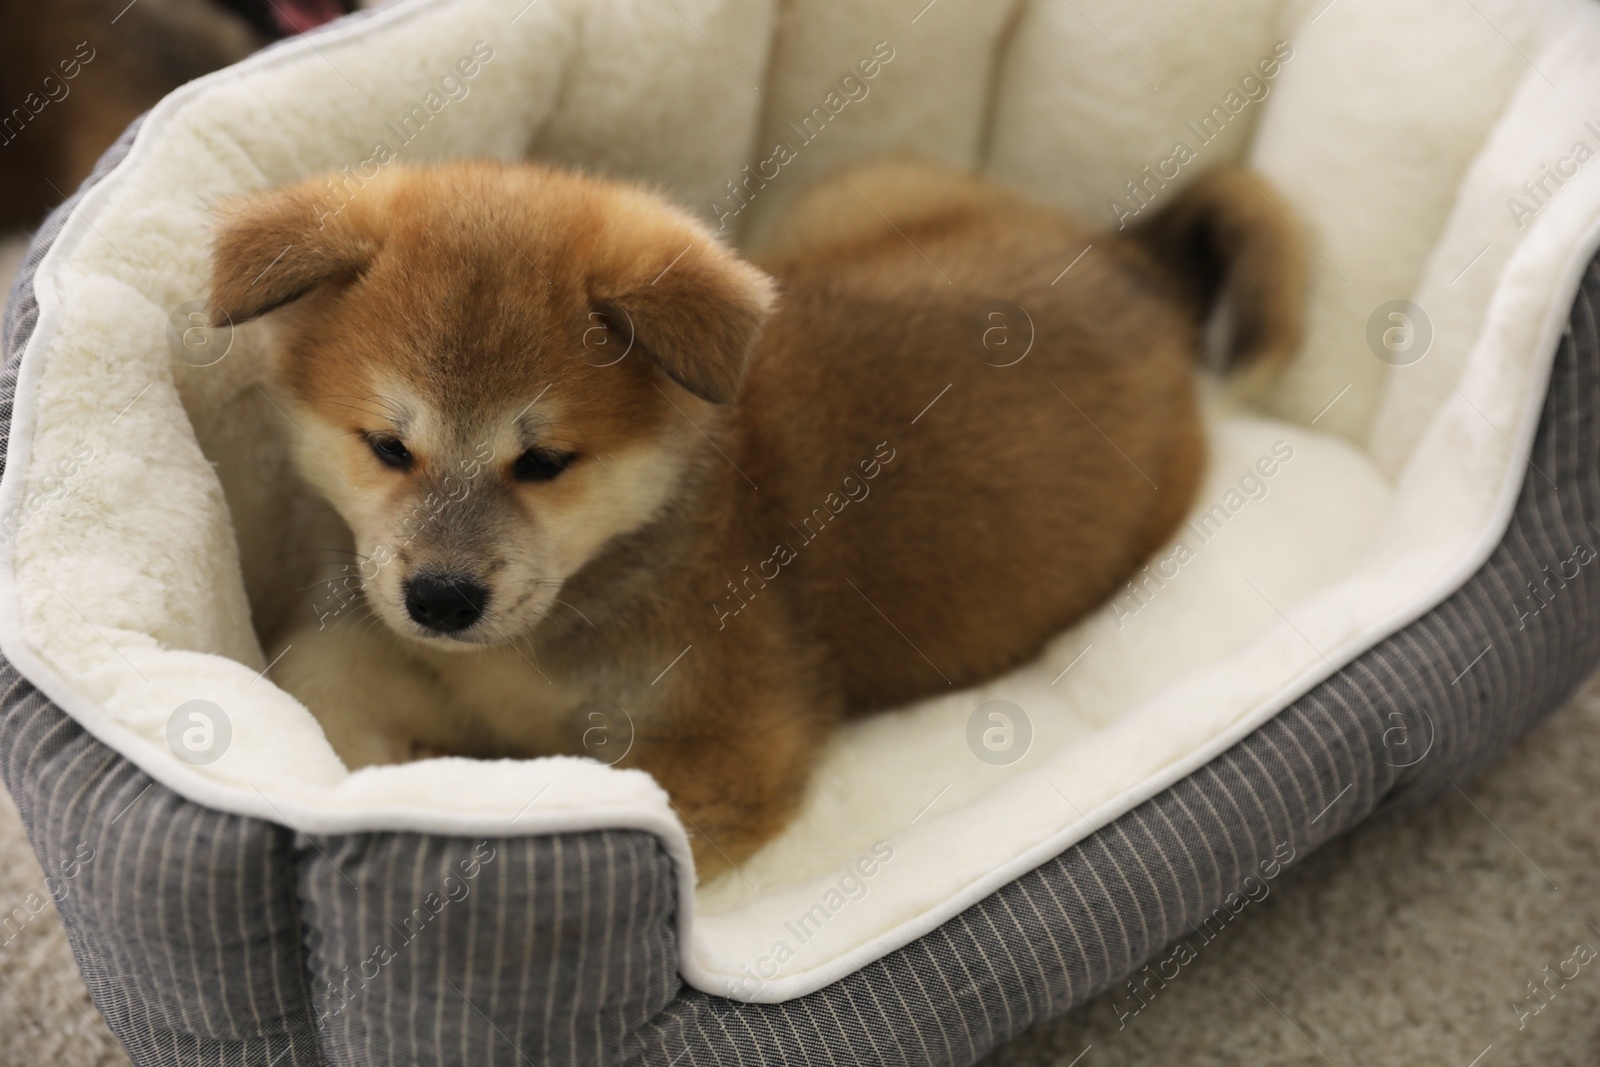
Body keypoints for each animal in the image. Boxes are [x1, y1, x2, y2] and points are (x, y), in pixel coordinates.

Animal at [209, 158, 1299, 876]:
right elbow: (325, 691)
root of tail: (1132, 265)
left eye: (546, 462)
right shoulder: (395, 656)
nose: (440, 598)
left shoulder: (729, 748)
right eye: (387, 446)